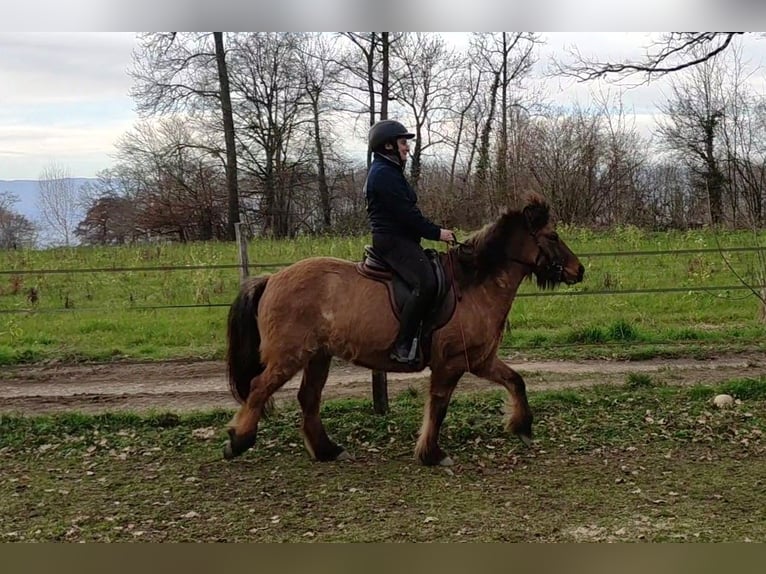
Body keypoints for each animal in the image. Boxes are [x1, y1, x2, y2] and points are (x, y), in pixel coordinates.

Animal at [223, 193, 584, 466]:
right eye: (553, 236)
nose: (578, 270)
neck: (473, 284)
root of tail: (271, 279)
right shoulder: (451, 362)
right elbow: (439, 406)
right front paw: (432, 453)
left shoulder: (479, 360)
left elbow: (516, 381)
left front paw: (521, 426)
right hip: (290, 356)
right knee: (259, 388)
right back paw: (238, 441)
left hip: (317, 356)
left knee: (308, 397)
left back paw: (328, 450)